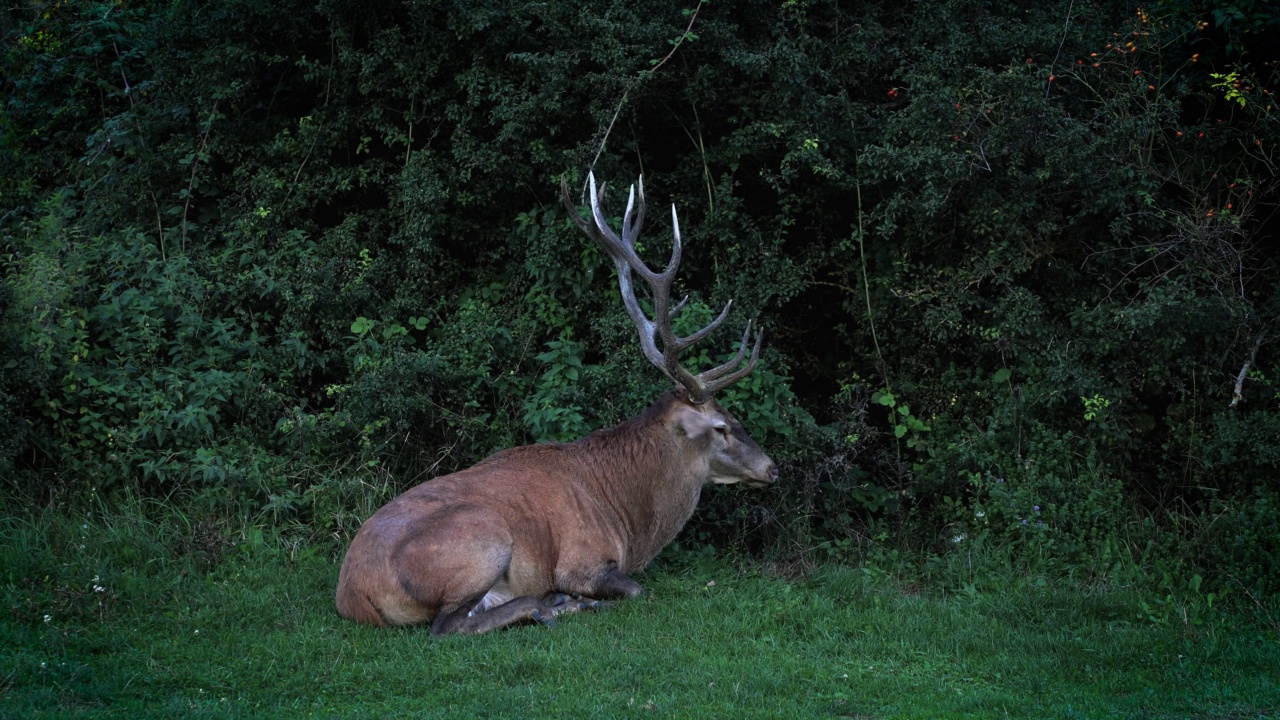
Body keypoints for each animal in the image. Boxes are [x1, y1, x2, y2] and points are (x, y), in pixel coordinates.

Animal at [335, 170, 773, 630]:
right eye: (722, 426)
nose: (773, 468)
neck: (627, 519)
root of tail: (354, 595)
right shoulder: (580, 560)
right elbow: (636, 589)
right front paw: (576, 598)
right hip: (481, 536)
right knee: (450, 624)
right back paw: (554, 606)